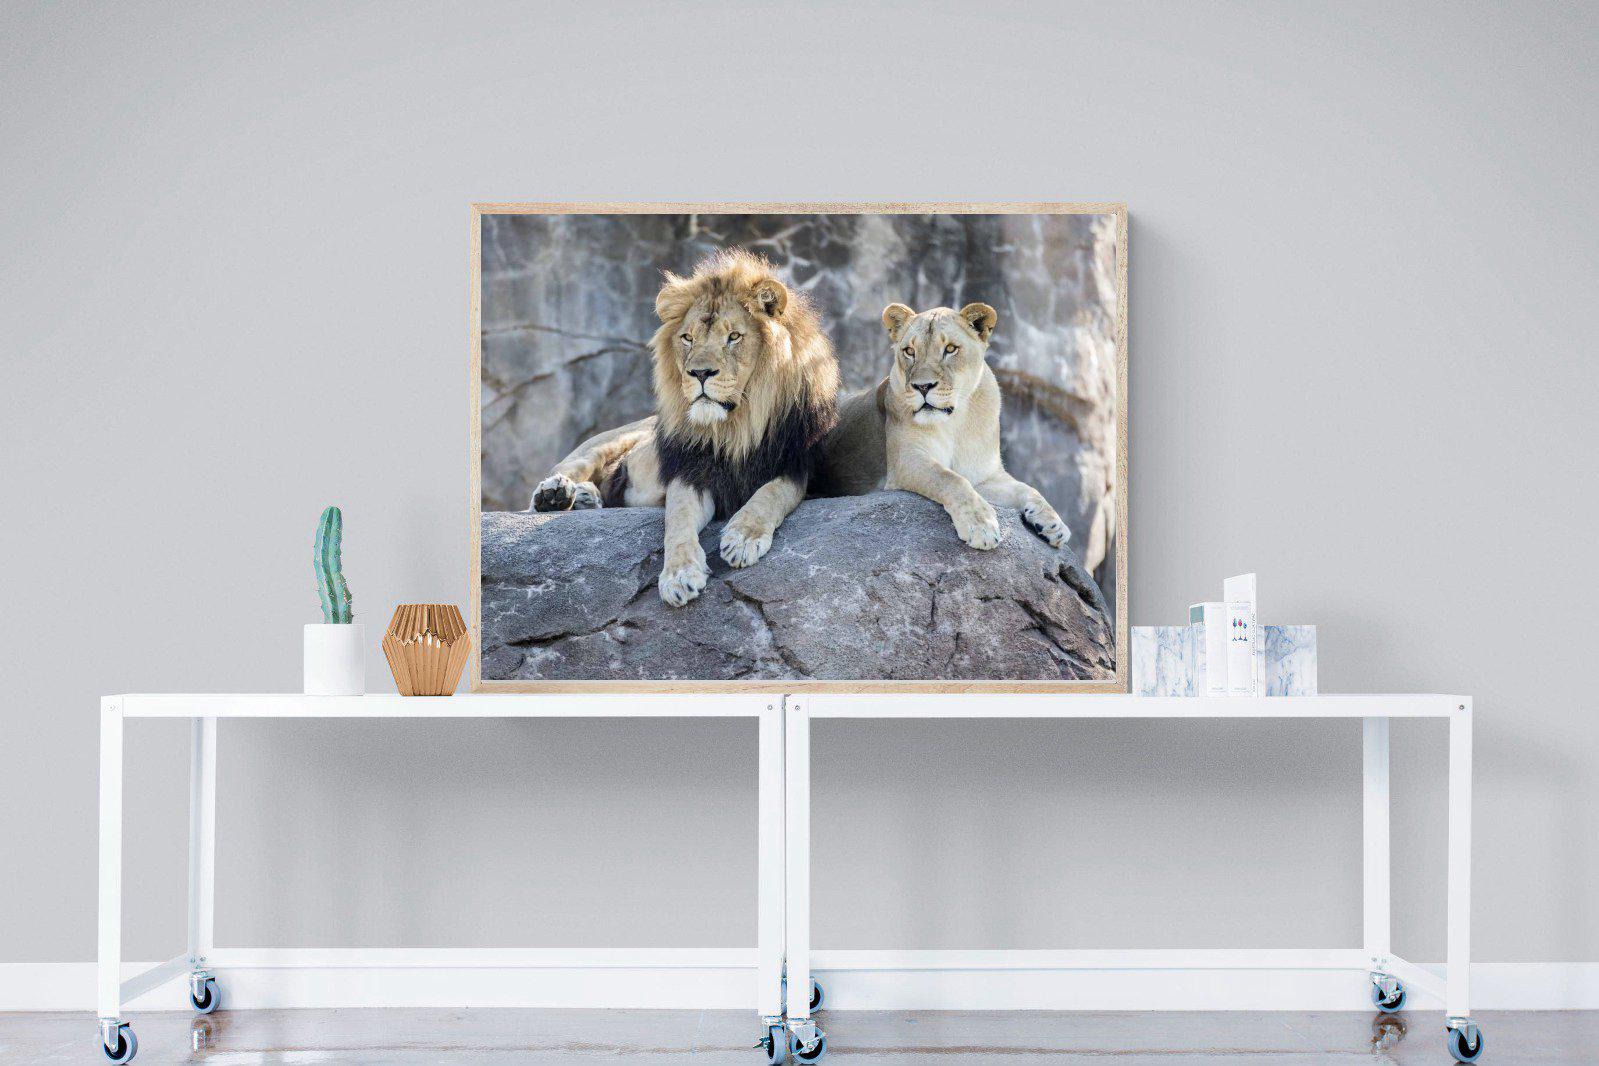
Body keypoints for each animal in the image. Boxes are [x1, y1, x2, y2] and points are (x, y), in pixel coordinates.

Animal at [530, 250, 840, 606]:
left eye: (734, 336)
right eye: (687, 338)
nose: (700, 373)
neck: (735, 428)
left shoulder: (796, 466)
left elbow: (772, 494)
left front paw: (743, 538)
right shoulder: (690, 471)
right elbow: (677, 519)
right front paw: (679, 576)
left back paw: (584, 498)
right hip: (605, 443)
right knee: (567, 470)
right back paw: (556, 494)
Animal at [816, 302, 1070, 551]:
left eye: (950, 349)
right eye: (909, 351)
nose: (923, 386)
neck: (956, 422)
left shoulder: (984, 476)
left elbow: (1027, 488)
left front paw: (1054, 524)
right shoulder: (906, 460)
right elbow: (950, 479)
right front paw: (981, 525)